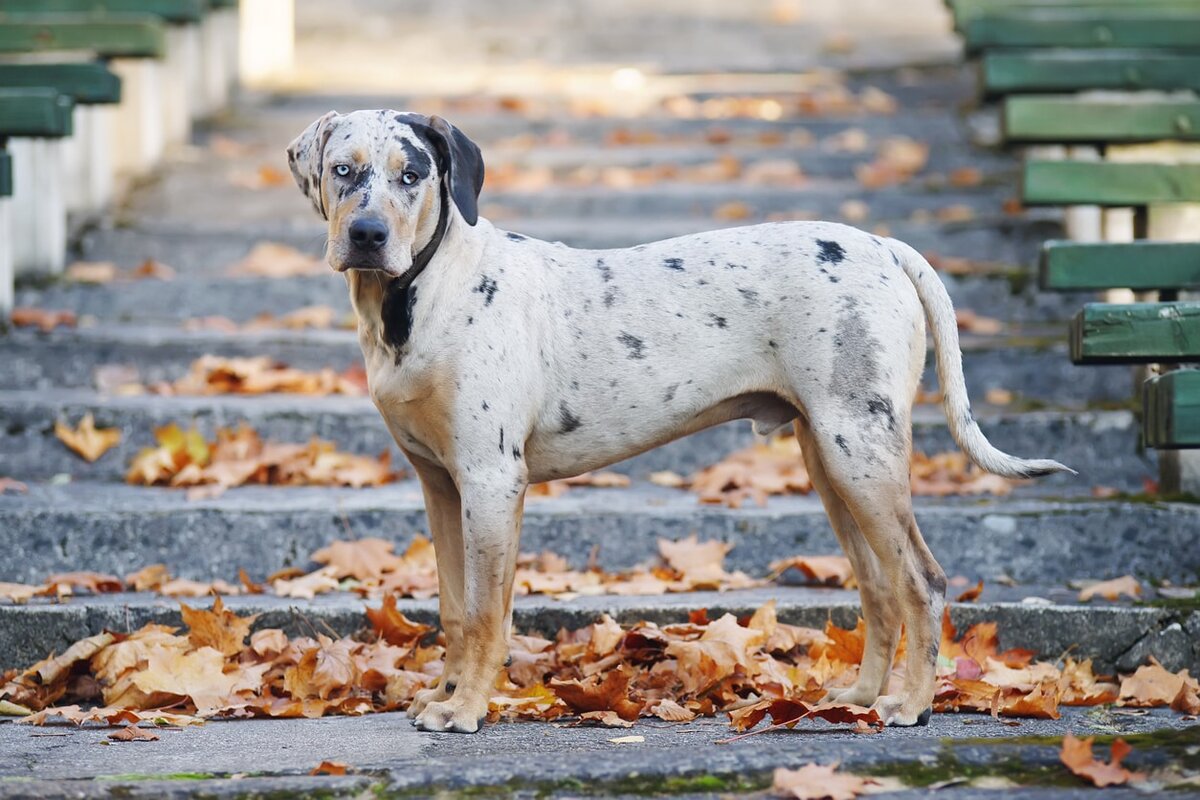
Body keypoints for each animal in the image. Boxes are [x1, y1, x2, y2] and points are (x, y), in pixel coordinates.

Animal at [285, 109, 1075, 734]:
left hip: (861, 452)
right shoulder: (441, 486)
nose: (366, 233)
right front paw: (443, 696)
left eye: (412, 173)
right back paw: (856, 696)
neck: (419, 296)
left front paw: (466, 710)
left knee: (923, 580)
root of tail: (885, 247)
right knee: (880, 586)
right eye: (343, 170)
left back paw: (910, 705)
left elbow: (484, 614)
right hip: (831, 458)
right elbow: (453, 608)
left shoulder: (489, 481)